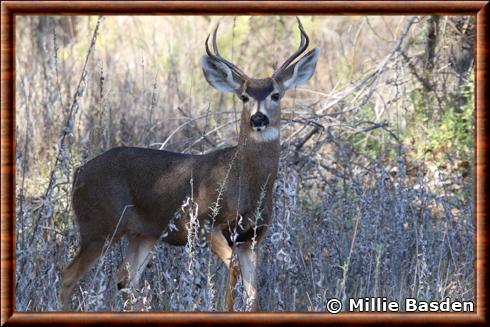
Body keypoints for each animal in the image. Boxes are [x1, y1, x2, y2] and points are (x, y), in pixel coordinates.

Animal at [59, 18, 320, 312]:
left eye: (276, 95)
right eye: (243, 96)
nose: (258, 119)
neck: (243, 181)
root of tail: (79, 173)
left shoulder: (251, 237)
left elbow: (253, 293)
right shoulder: (205, 222)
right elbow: (232, 272)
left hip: (142, 233)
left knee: (125, 278)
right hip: (99, 224)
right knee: (68, 276)